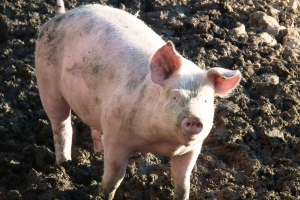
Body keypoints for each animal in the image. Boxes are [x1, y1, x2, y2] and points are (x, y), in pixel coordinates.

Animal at [35, 0, 241, 199]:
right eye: (175, 96)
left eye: (206, 101)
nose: (195, 119)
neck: (161, 142)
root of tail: (61, 16)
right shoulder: (116, 135)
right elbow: (114, 178)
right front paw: (103, 194)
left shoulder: (192, 149)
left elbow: (183, 184)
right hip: (46, 81)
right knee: (61, 124)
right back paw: (64, 164)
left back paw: (97, 154)